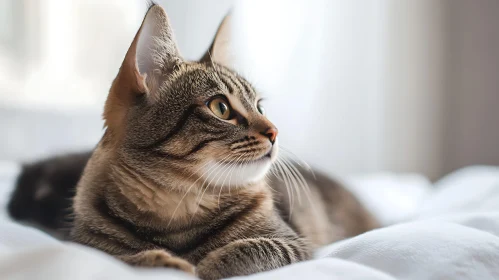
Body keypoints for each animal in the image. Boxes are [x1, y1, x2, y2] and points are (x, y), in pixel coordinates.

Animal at [7, 4, 376, 280]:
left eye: (260, 106)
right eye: (221, 108)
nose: (275, 131)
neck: (179, 207)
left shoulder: (295, 244)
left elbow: (250, 249)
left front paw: (206, 264)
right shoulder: (87, 246)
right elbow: (122, 258)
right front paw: (164, 261)